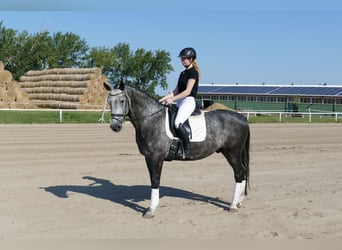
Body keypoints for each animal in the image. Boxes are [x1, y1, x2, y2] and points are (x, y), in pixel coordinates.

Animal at [103, 81, 250, 217]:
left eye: (122, 101)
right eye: (109, 101)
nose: (115, 126)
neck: (152, 119)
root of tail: (242, 118)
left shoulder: (156, 157)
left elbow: (155, 180)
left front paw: (151, 209)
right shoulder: (148, 157)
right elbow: (152, 179)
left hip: (233, 152)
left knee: (239, 173)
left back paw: (233, 205)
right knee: (242, 172)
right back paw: (239, 202)